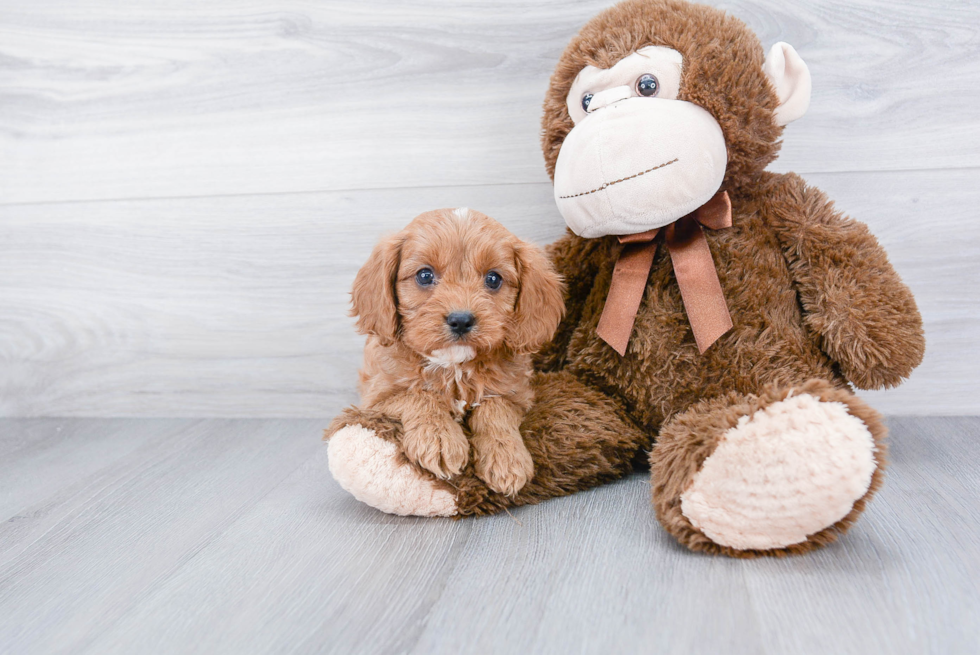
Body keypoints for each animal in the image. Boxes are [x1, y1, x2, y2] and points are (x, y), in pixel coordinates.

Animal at [352, 210, 568, 498]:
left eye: (493, 279)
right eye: (424, 275)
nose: (461, 320)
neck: (453, 365)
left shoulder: (516, 394)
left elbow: (495, 409)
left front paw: (506, 457)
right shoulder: (376, 398)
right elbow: (418, 395)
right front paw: (440, 438)